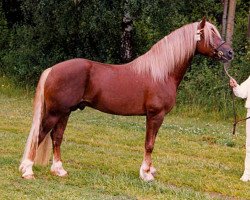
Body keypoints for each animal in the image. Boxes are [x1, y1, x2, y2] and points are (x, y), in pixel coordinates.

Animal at [19, 19, 232, 181]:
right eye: (210, 34)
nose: (230, 53)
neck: (162, 73)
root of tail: (52, 69)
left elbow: (151, 143)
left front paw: (149, 171)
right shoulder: (155, 115)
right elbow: (149, 144)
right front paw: (146, 174)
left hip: (65, 112)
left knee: (57, 137)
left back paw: (59, 170)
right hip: (55, 112)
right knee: (39, 134)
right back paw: (28, 171)